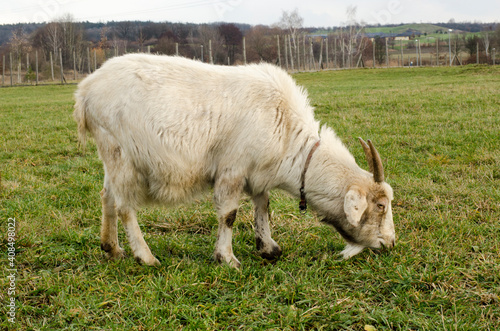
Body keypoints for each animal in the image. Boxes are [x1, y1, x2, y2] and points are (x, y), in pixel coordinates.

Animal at [73, 53, 394, 268]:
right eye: (380, 206)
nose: (389, 243)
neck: (286, 132)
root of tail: (85, 90)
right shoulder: (232, 169)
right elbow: (229, 214)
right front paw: (226, 258)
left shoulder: (258, 173)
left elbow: (264, 207)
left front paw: (268, 247)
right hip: (120, 152)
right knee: (125, 206)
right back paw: (145, 256)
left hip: (110, 154)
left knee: (106, 196)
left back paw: (112, 248)